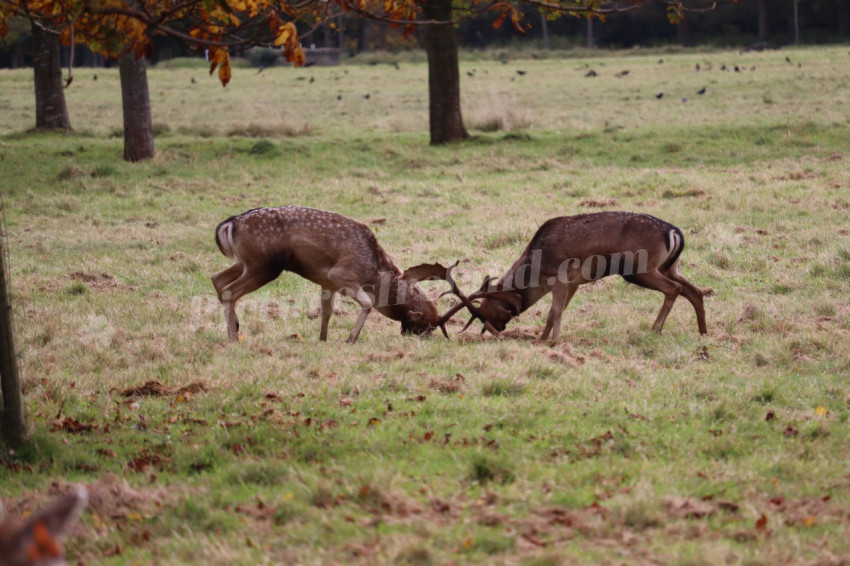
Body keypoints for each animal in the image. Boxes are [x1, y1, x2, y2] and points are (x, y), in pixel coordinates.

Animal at [212, 206, 464, 344]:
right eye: (426, 323)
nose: (422, 338)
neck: (373, 273)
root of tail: (232, 223)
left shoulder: (326, 282)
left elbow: (327, 311)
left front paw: (323, 338)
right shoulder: (340, 274)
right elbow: (366, 304)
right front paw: (350, 339)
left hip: (247, 262)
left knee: (217, 279)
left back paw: (235, 327)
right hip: (264, 265)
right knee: (229, 290)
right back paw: (234, 338)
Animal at [444, 211, 708, 340]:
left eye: (485, 311)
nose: (497, 330)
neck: (537, 271)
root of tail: (674, 232)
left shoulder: (560, 277)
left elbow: (554, 312)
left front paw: (550, 342)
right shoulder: (575, 283)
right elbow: (558, 312)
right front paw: (544, 339)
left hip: (639, 267)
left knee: (674, 289)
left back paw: (655, 330)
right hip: (670, 266)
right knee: (694, 291)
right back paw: (703, 332)